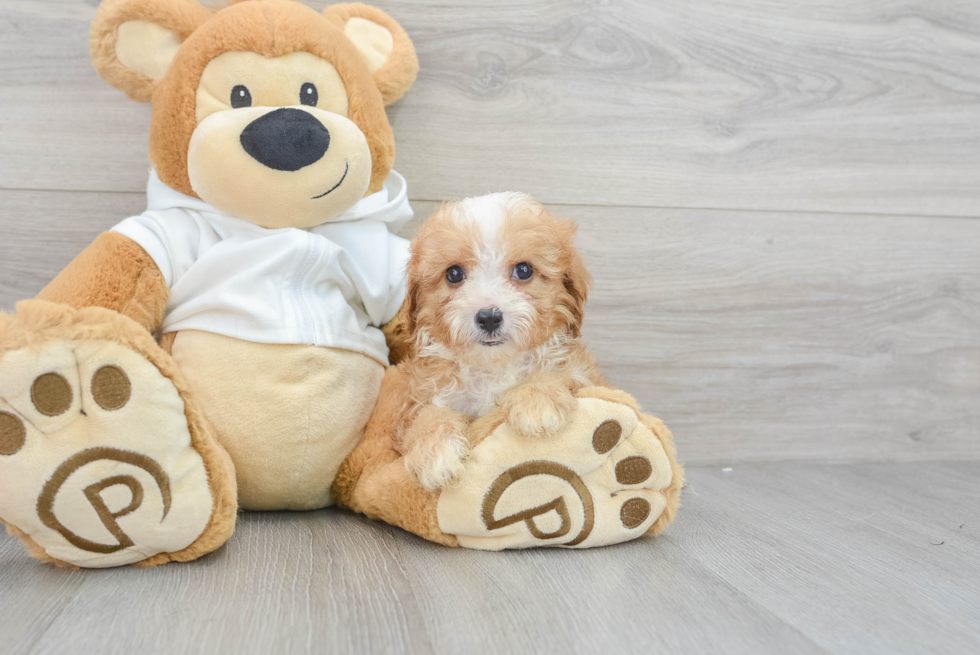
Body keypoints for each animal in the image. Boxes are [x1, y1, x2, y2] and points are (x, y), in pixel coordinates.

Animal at [396, 195, 604, 492]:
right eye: (454, 274)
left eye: (524, 270)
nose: (489, 317)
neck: (493, 366)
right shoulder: (419, 395)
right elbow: (426, 414)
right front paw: (434, 451)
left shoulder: (584, 373)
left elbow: (558, 372)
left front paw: (536, 401)